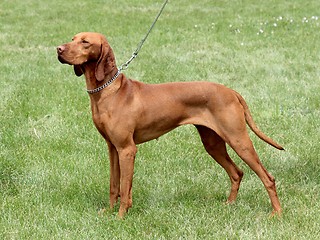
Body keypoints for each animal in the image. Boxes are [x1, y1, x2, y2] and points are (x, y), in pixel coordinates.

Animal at [57, 31, 282, 218]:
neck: (108, 91)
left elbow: (124, 187)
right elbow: (114, 184)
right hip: (212, 143)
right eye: (72, 38)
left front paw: (120, 217)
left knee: (268, 177)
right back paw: (230, 204)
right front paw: (110, 212)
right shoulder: (113, 148)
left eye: (85, 42)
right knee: (237, 173)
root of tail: (231, 91)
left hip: (238, 140)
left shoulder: (127, 149)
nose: (58, 49)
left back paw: (276, 213)